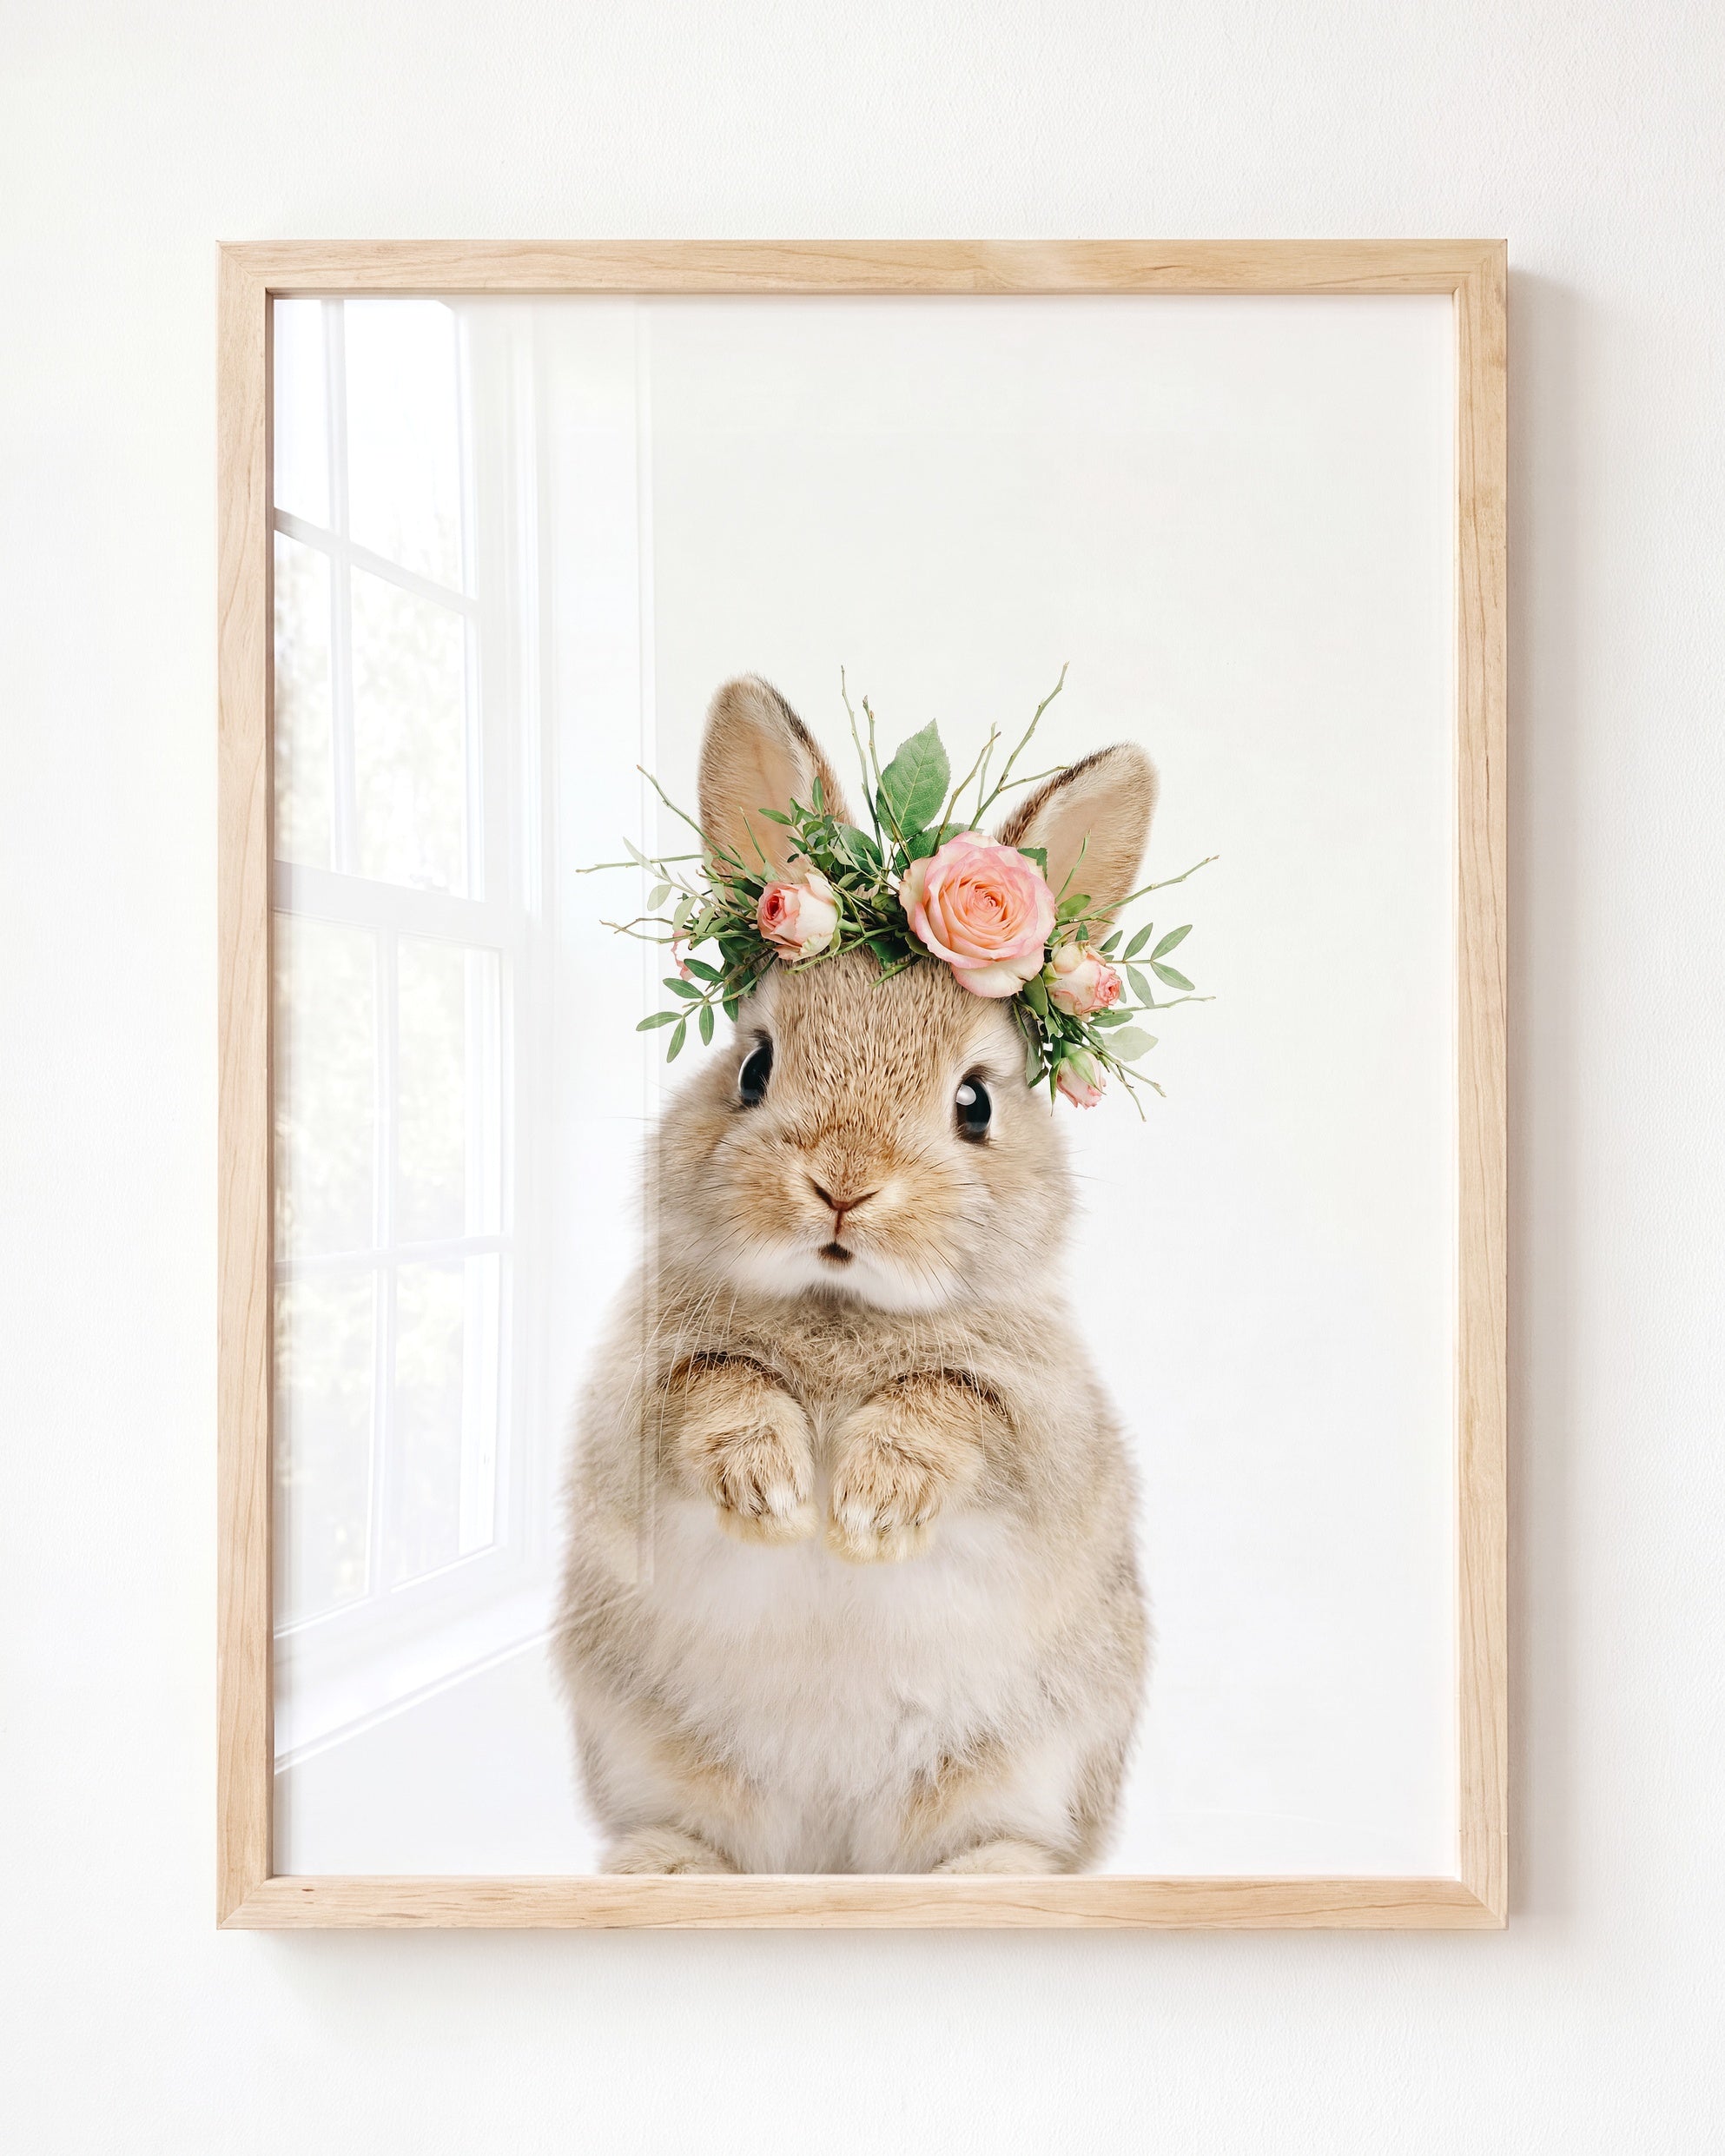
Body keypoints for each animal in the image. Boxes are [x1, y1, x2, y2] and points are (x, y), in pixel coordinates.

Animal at [553, 675, 1155, 1874]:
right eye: (753, 1066)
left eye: (975, 1101)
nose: (843, 1185)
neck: (841, 1307)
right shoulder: (635, 1395)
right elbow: (715, 1386)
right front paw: (776, 1492)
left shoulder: (1043, 1428)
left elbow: (951, 1406)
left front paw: (869, 1506)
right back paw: (665, 1869)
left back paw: (995, 1883)